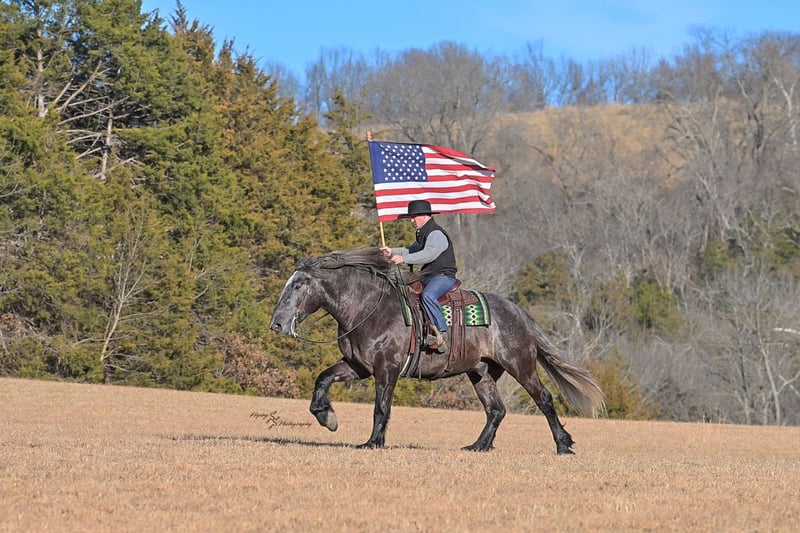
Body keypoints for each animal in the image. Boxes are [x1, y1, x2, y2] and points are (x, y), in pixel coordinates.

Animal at [269, 247, 605, 454]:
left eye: (298, 285)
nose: (277, 325)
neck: (368, 308)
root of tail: (519, 313)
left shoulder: (386, 369)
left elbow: (381, 407)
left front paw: (373, 442)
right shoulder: (358, 366)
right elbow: (323, 380)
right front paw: (327, 417)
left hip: (520, 365)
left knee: (544, 399)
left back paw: (563, 445)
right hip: (481, 372)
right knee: (496, 409)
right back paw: (478, 446)